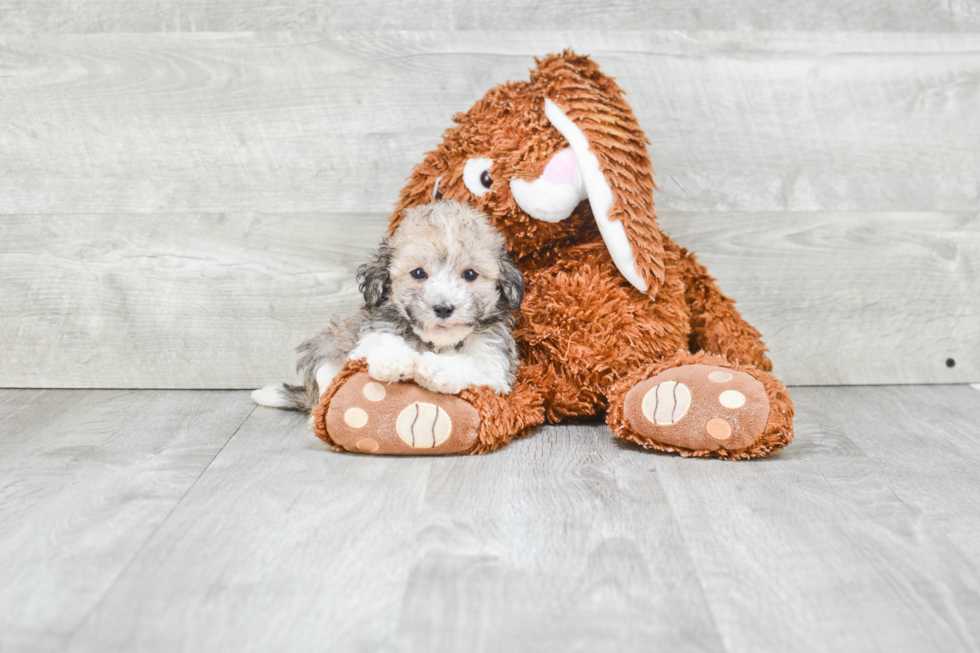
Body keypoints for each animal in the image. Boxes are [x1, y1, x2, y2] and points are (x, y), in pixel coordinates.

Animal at [256, 201, 524, 410]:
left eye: (470, 274)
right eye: (418, 273)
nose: (443, 308)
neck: (435, 342)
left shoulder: (494, 366)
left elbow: (473, 367)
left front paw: (438, 369)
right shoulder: (374, 327)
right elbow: (380, 341)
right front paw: (393, 361)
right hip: (331, 340)